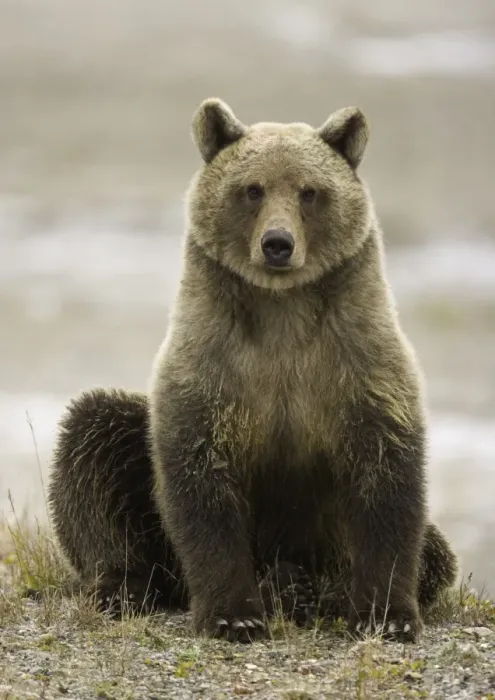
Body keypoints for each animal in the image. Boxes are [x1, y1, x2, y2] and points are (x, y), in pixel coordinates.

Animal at [48, 98, 458, 644]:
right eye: (252, 189)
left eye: (309, 191)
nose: (277, 243)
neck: (282, 313)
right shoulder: (213, 369)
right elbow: (201, 487)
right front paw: (234, 615)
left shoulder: (359, 364)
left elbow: (387, 484)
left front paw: (386, 615)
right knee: (95, 434)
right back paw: (125, 586)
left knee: (435, 554)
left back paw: (304, 588)